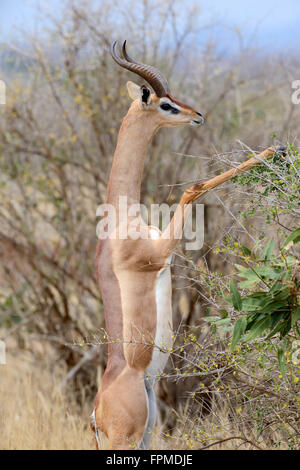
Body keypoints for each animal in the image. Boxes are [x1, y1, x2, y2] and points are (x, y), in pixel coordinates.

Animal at [90, 39, 278, 448]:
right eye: (166, 104)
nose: (198, 115)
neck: (121, 220)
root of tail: (97, 413)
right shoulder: (159, 253)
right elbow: (192, 189)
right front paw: (274, 151)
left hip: (146, 431)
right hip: (127, 439)